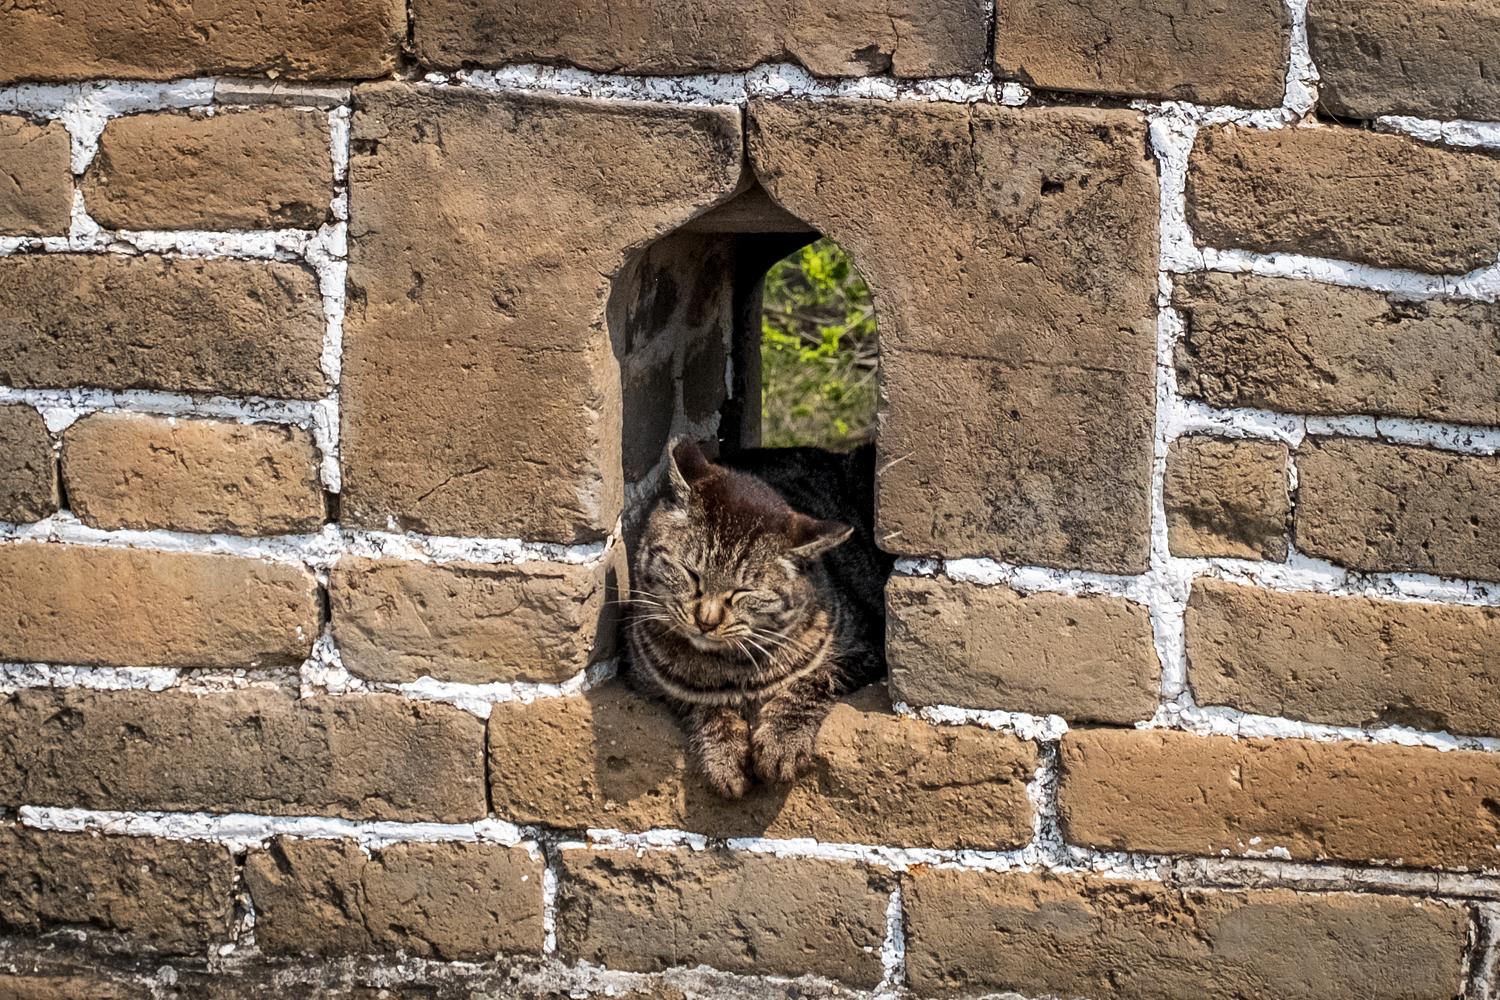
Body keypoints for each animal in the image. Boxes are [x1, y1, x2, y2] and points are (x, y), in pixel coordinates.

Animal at [625, 437, 893, 798]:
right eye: (692, 574)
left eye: (744, 591)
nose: (706, 621)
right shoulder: (646, 679)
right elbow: (698, 700)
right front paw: (724, 753)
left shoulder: (866, 648)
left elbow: (815, 679)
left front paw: (782, 741)